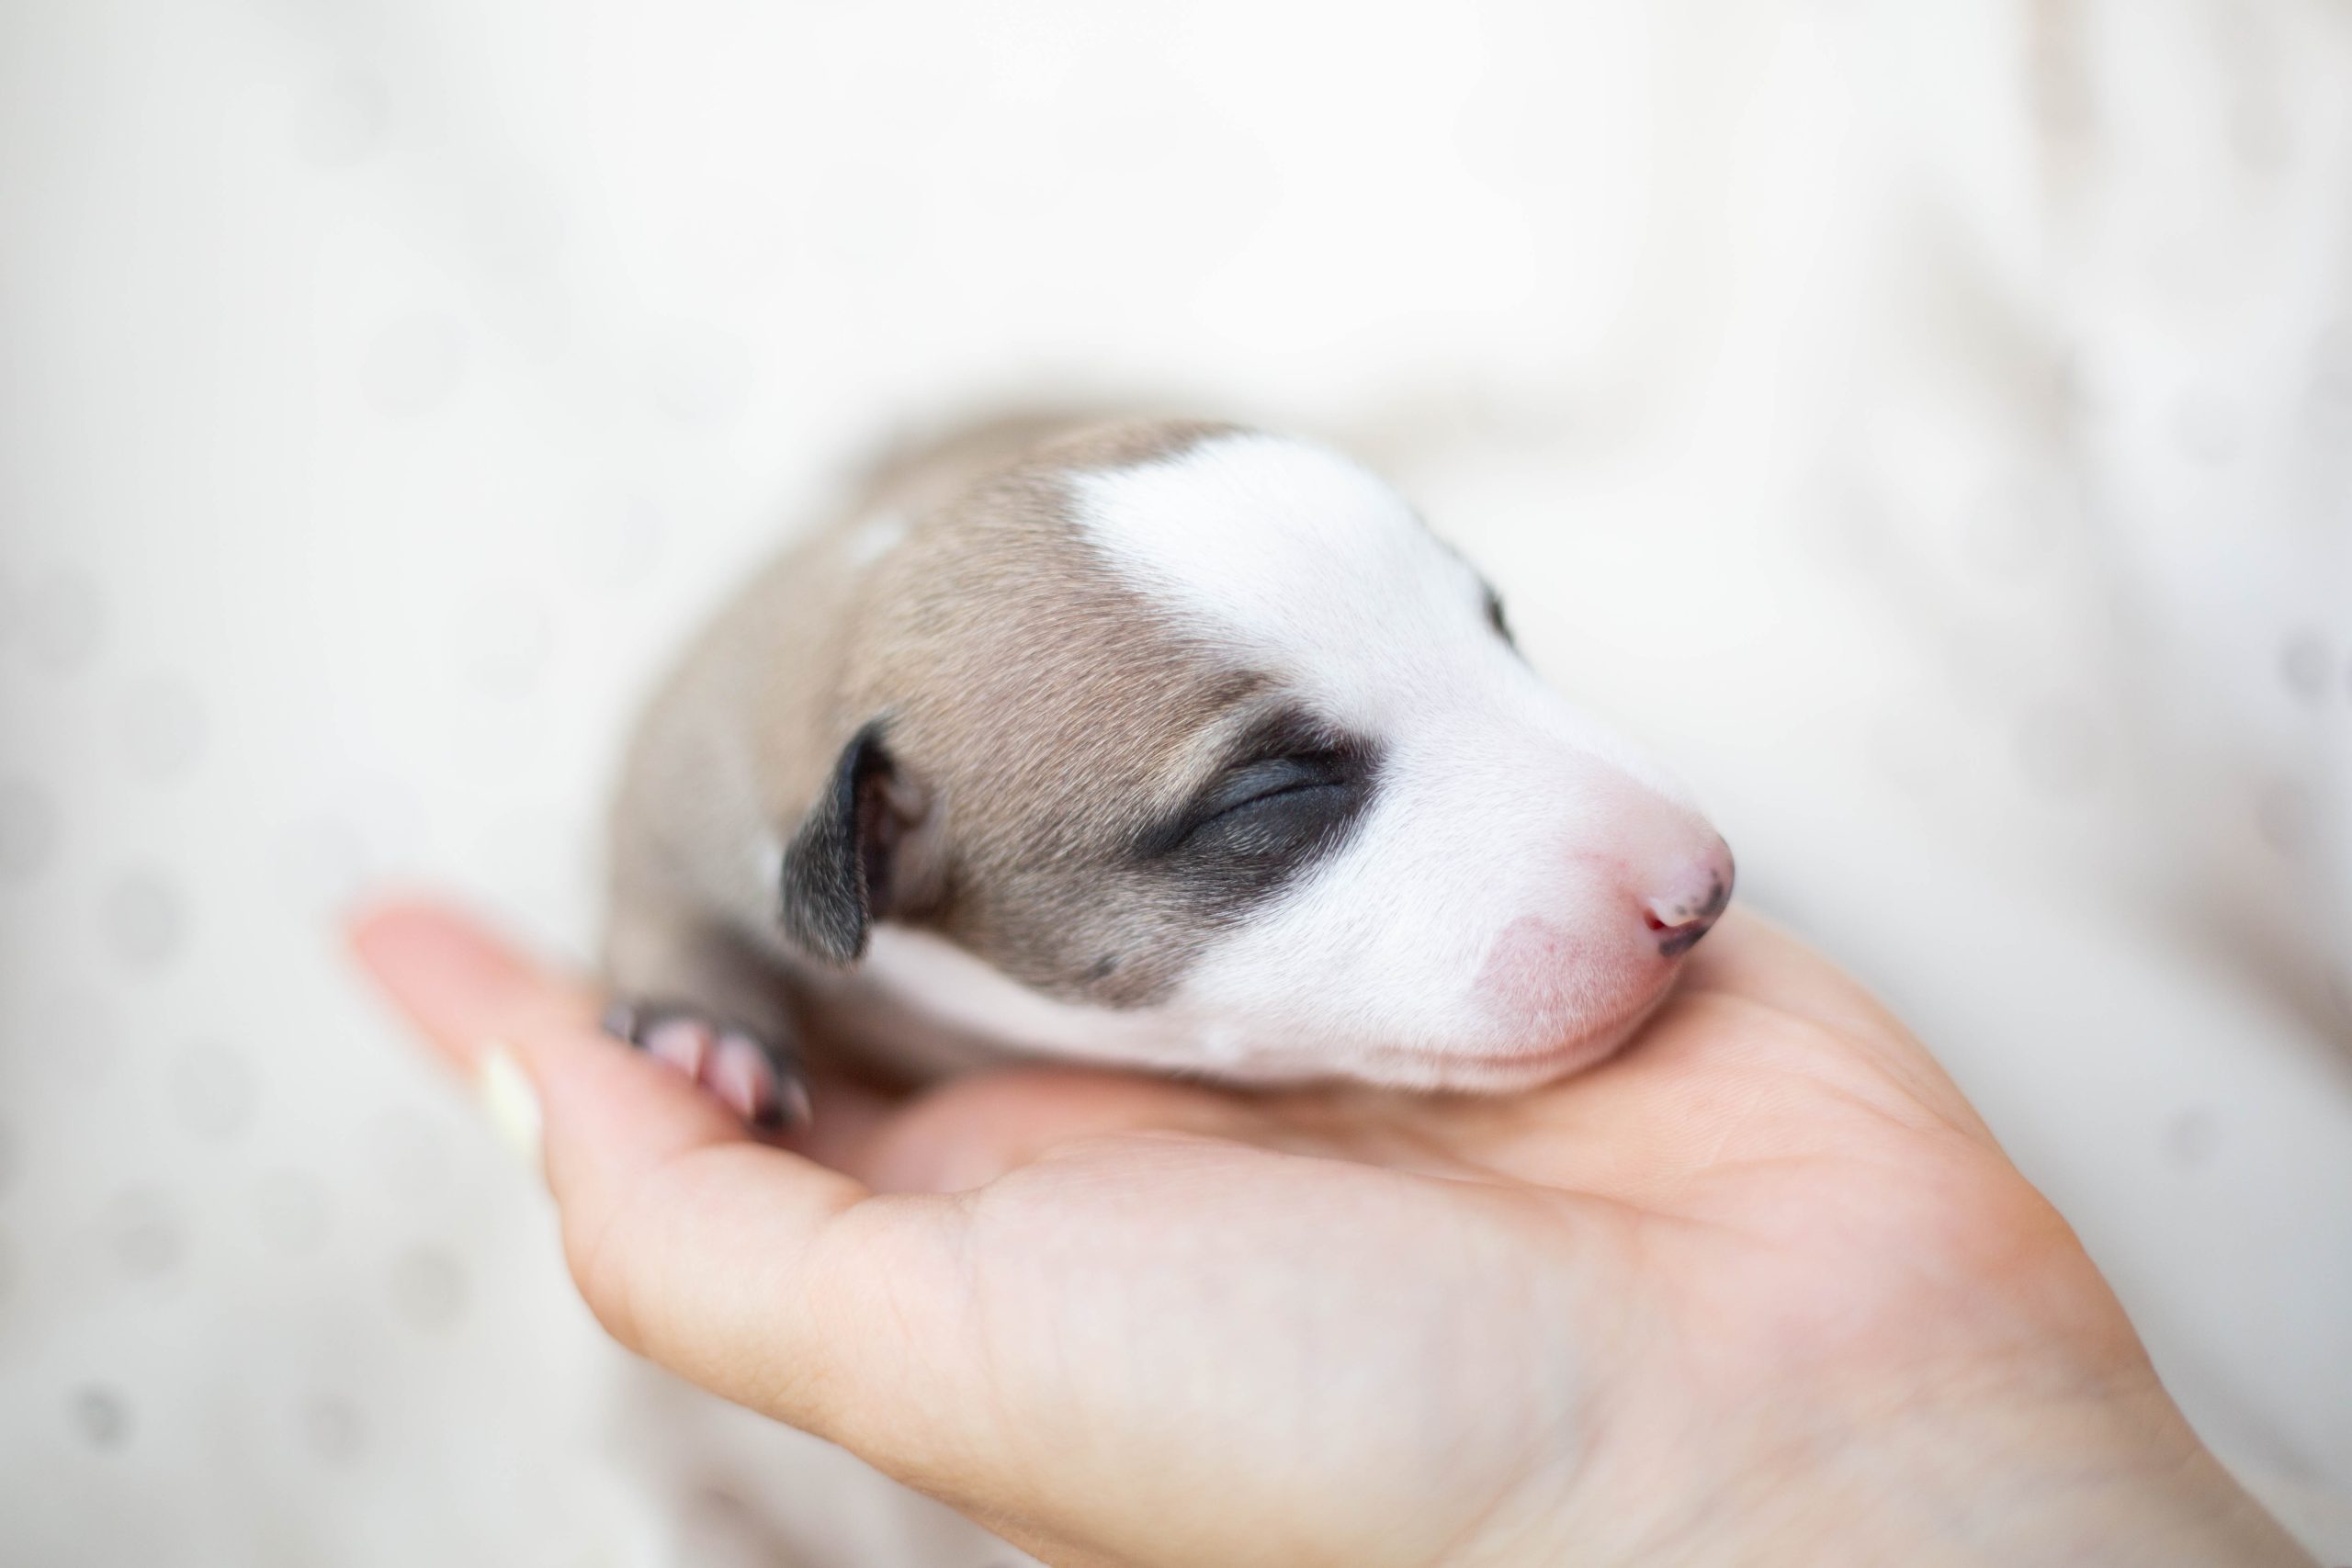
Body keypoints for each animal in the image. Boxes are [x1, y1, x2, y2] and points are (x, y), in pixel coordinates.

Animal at [606, 413, 1731, 1128]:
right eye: (1275, 792)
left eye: (1496, 625)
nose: (1705, 887)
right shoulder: (687, 765)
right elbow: (643, 877)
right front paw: (704, 1031)